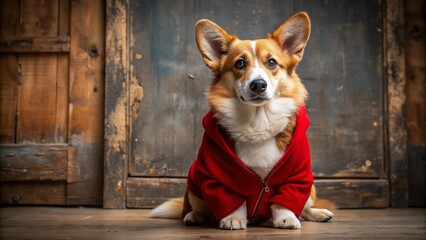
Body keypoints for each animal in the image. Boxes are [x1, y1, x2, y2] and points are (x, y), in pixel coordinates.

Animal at [151, 12, 334, 230]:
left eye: (272, 62)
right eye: (240, 64)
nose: (258, 85)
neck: (258, 121)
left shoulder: (298, 175)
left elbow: (286, 199)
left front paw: (286, 218)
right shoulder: (216, 177)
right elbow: (232, 199)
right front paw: (233, 219)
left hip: (311, 188)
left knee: (305, 207)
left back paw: (318, 213)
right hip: (194, 184)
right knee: (197, 207)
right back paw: (195, 216)